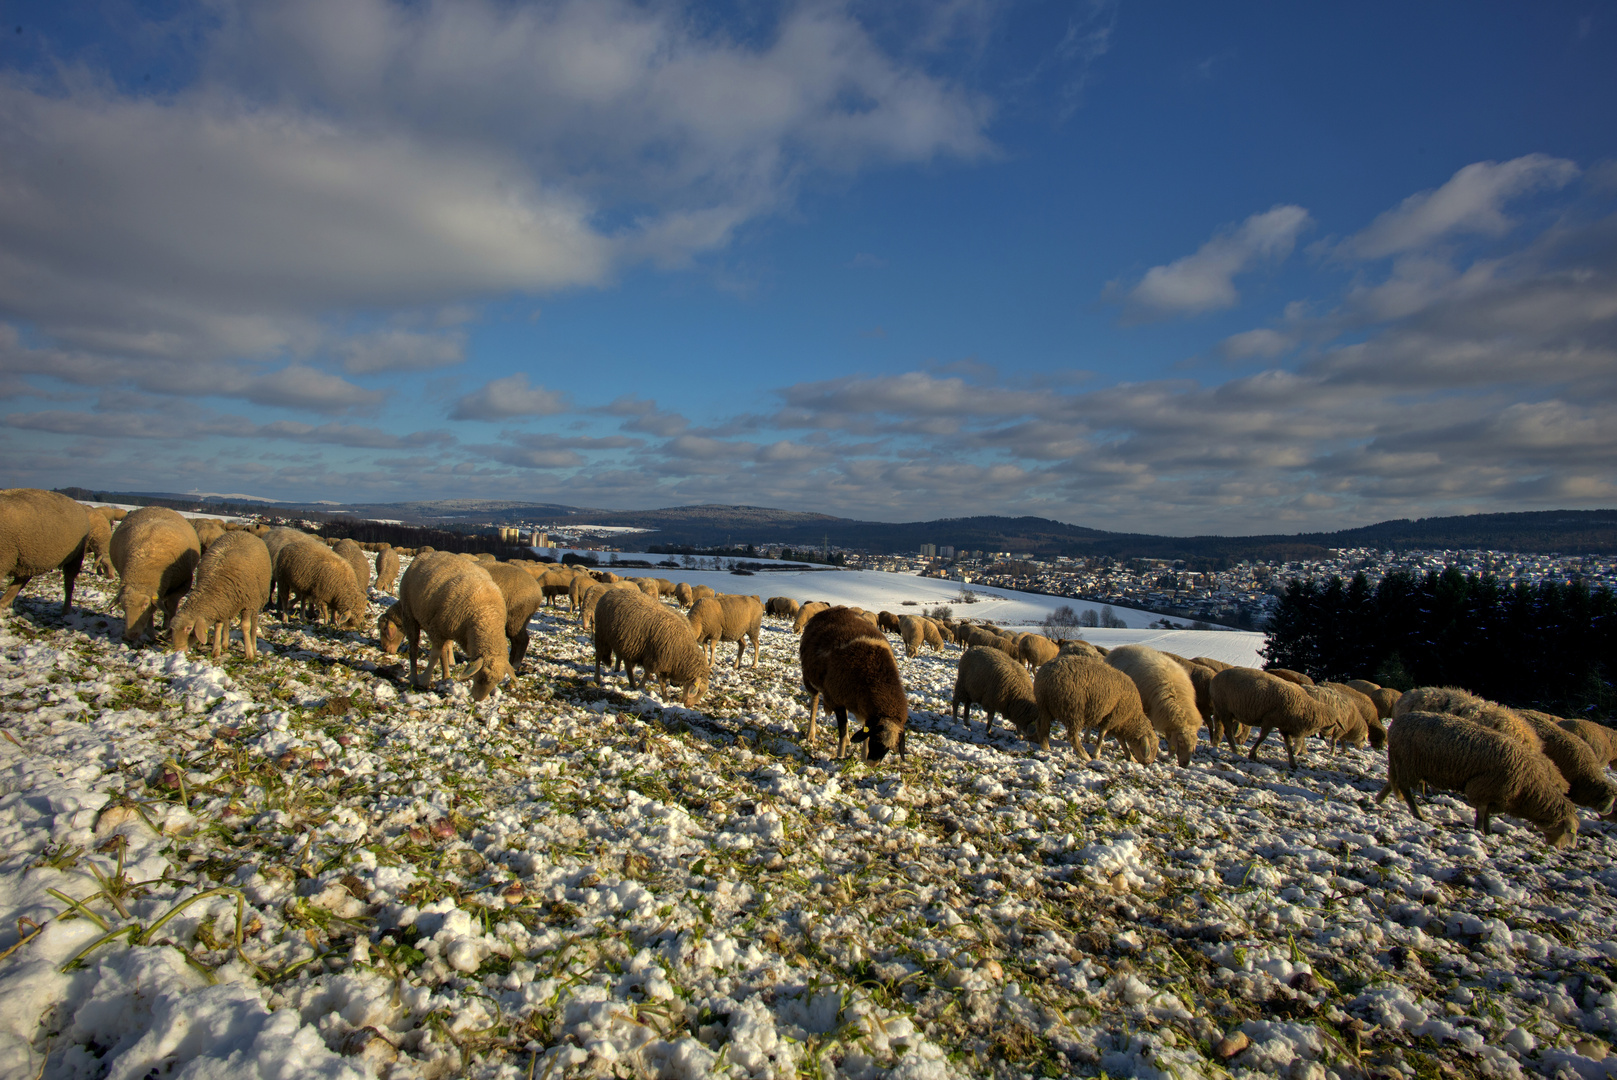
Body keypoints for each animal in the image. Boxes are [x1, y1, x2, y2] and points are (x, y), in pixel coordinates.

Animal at [111, 507, 201, 640]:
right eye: (122, 605)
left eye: (145, 604)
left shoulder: (181, 585)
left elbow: (171, 607)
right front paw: (151, 632)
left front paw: (169, 630)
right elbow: (151, 613)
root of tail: (158, 507)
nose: (131, 634)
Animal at [168, 530, 270, 662]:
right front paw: (216, 651)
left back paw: (253, 646)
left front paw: (249, 654)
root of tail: (240, 531)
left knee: (254, 621)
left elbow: (245, 626)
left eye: (189, 628)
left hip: (257, 598)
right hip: (229, 604)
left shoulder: (247, 603)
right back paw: (225, 644)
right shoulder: (220, 606)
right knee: (226, 621)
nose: (178, 651)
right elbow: (218, 626)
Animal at [798, 607, 911, 759]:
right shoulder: (837, 700)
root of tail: (834, 609)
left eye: (888, 748)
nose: (872, 763)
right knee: (814, 703)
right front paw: (840, 756)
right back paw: (811, 734)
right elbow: (842, 730)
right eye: (876, 739)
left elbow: (862, 732)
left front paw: (862, 757)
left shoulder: (863, 707)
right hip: (810, 679)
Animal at [1028, 653, 1157, 763]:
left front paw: (1130, 757)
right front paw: (1096, 754)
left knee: (1041, 724)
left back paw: (1045, 747)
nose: (1148, 763)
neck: (1132, 717)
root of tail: (1046, 676)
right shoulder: (1112, 717)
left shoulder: (1117, 723)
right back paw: (1085, 755)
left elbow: (1122, 741)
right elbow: (1102, 735)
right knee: (1072, 736)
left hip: (1045, 705)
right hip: (1074, 709)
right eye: (1151, 748)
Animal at [1377, 708, 1578, 853]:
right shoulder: (1483, 786)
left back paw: (1380, 799)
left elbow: (1487, 813)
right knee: (1404, 787)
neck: (1529, 788)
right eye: (1570, 831)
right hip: (1410, 762)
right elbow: (1482, 811)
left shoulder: (1495, 795)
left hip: (1402, 761)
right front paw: (1479, 830)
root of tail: (1397, 723)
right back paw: (1418, 813)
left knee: (1393, 782)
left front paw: (1488, 832)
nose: (1561, 849)